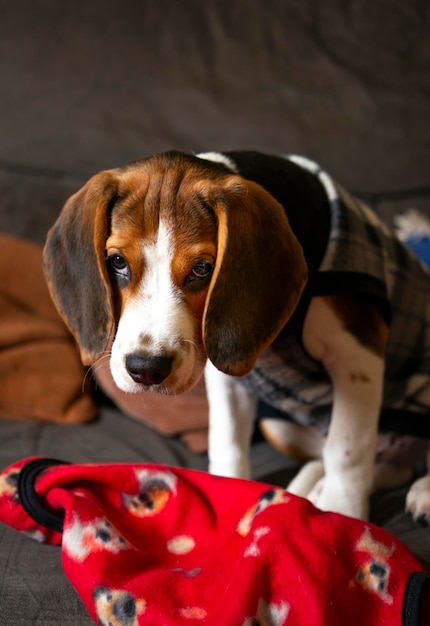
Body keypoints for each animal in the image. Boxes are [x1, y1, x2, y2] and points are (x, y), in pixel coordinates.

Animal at [42, 149, 430, 520]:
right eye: (118, 263)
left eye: (202, 269)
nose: (146, 369)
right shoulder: (227, 373)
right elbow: (227, 442)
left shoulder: (357, 355)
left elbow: (346, 449)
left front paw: (342, 510)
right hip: (277, 426)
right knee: (383, 466)